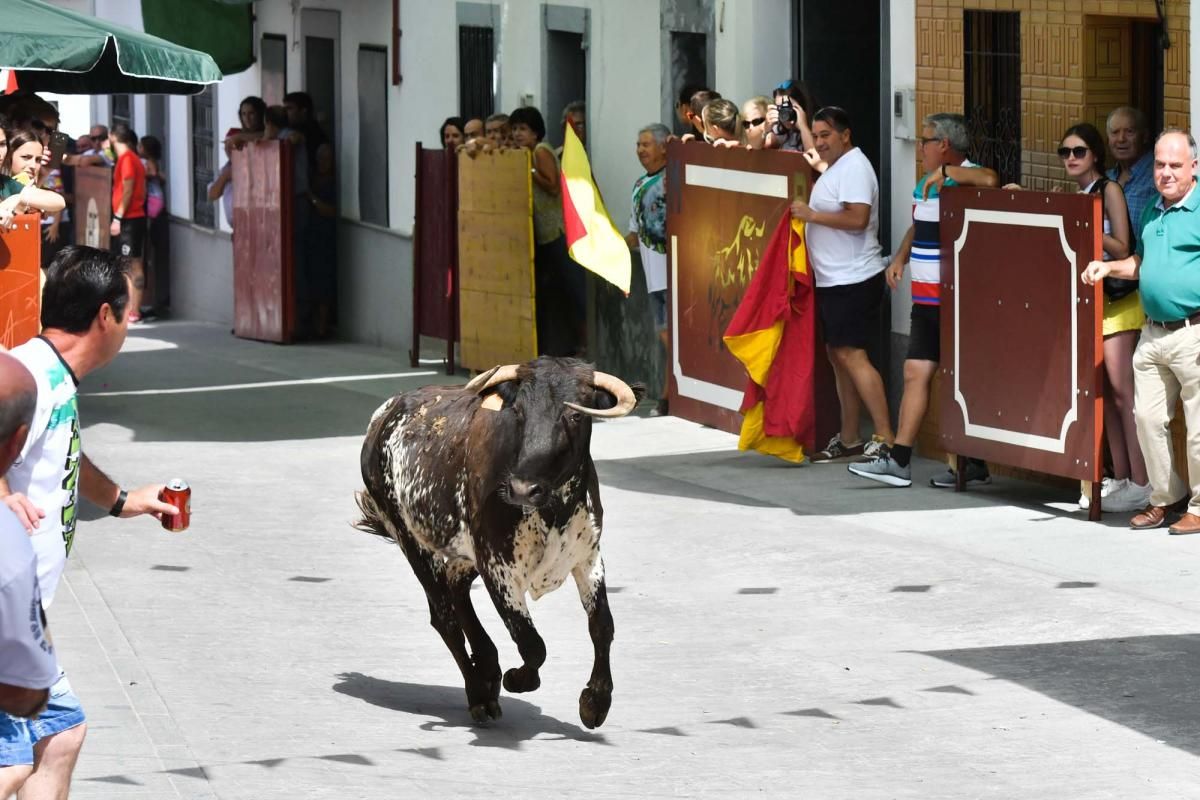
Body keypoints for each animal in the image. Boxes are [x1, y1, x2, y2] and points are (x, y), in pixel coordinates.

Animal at [352, 359, 643, 729]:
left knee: (455, 587)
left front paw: (595, 702)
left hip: (464, 552)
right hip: (411, 538)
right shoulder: (498, 567)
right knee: (445, 617)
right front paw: (517, 679)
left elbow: (602, 625)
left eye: (575, 415)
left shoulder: (587, 557)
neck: (554, 510)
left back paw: (488, 667)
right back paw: (480, 693)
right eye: (518, 412)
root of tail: (386, 413)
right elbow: (531, 643)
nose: (521, 489)